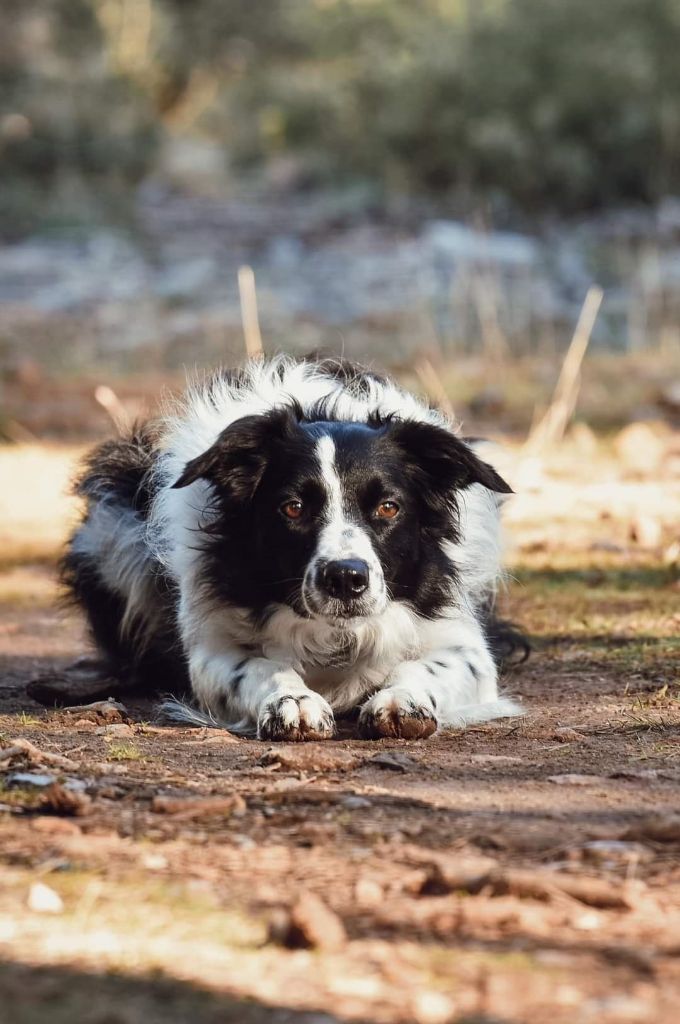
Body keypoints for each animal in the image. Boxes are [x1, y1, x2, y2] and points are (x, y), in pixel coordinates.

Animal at [61, 356, 522, 741]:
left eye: (388, 507)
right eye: (293, 507)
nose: (345, 578)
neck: (336, 635)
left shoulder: (460, 640)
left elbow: (430, 663)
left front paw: (402, 698)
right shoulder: (213, 644)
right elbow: (260, 666)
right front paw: (293, 701)